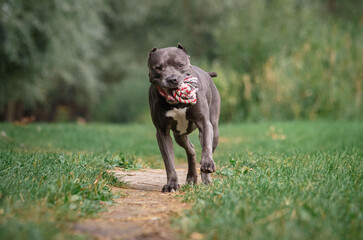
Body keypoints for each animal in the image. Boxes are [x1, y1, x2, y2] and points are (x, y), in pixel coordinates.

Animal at [148, 43, 222, 193]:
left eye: (180, 65)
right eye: (158, 67)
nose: (172, 79)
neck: (178, 103)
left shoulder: (204, 123)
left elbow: (206, 146)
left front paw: (207, 164)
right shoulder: (162, 133)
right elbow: (169, 162)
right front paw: (171, 184)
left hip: (215, 130)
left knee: (207, 146)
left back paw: (206, 178)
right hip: (179, 135)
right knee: (191, 150)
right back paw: (191, 177)